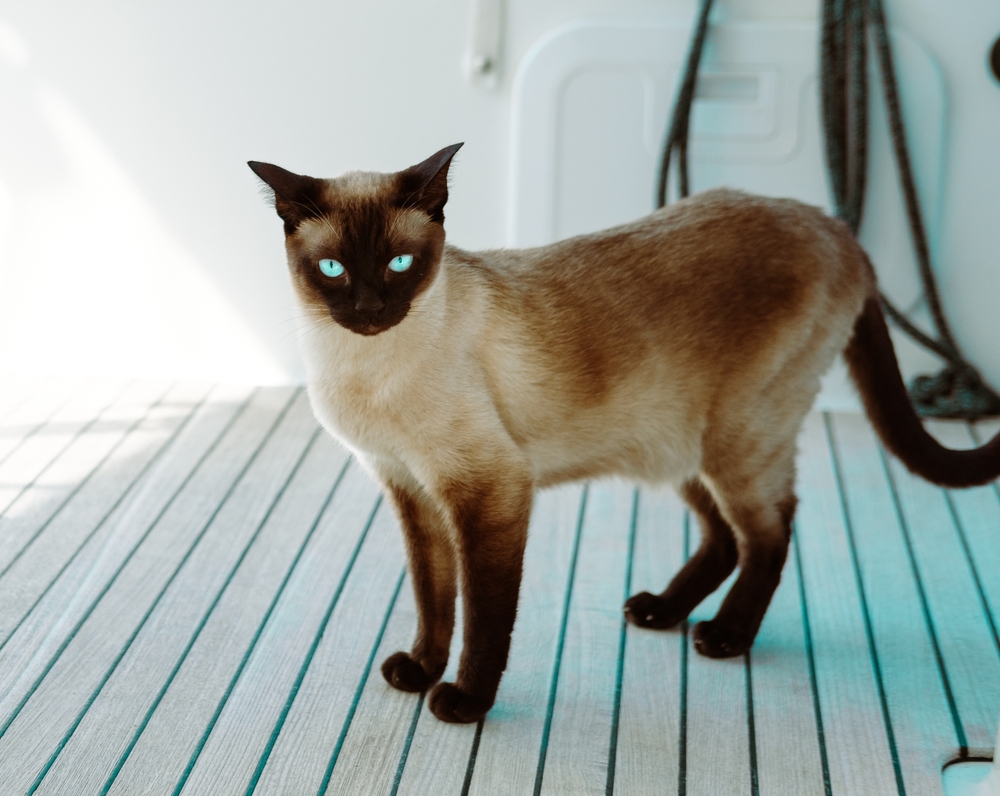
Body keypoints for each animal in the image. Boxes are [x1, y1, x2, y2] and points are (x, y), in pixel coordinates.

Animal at [248, 141, 1000, 720]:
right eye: (334, 269)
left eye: (400, 264)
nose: (371, 309)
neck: (364, 369)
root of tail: (834, 226)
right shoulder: (413, 492)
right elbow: (435, 598)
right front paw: (421, 670)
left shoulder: (490, 492)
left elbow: (485, 616)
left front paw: (463, 702)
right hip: (678, 445)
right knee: (724, 536)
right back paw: (661, 612)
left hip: (735, 438)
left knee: (770, 530)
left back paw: (723, 637)